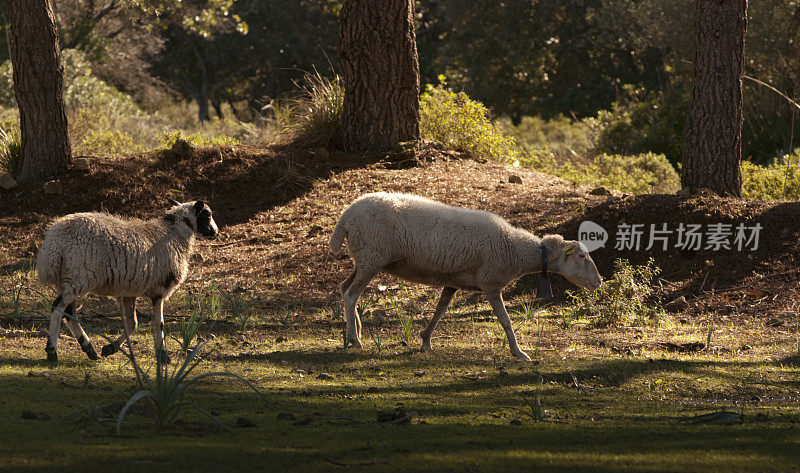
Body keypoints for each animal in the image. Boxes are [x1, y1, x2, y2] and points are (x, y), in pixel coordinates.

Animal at [36, 198, 219, 362]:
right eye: (207, 215)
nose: (216, 233)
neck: (175, 233)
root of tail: (55, 242)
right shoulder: (160, 290)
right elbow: (159, 324)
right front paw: (163, 356)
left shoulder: (129, 291)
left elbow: (132, 324)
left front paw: (110, 348)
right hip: (79, 277)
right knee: (57, 308)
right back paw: (52, 351)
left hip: (67, 279)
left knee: (69, 313)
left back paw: (90, 349)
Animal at [330, 191, 600, 358]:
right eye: (581, 256)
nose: (599, 282)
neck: (514, 248)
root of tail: (346, 215)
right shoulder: (491, 283)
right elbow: (505, 320)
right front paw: (519, 353)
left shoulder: (454, 281)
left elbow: (440, 310)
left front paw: (426, 340)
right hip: (371, 257)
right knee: (352, 295)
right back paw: (355, 339)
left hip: (364, 259)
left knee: (344, 288)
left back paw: (355, 330)